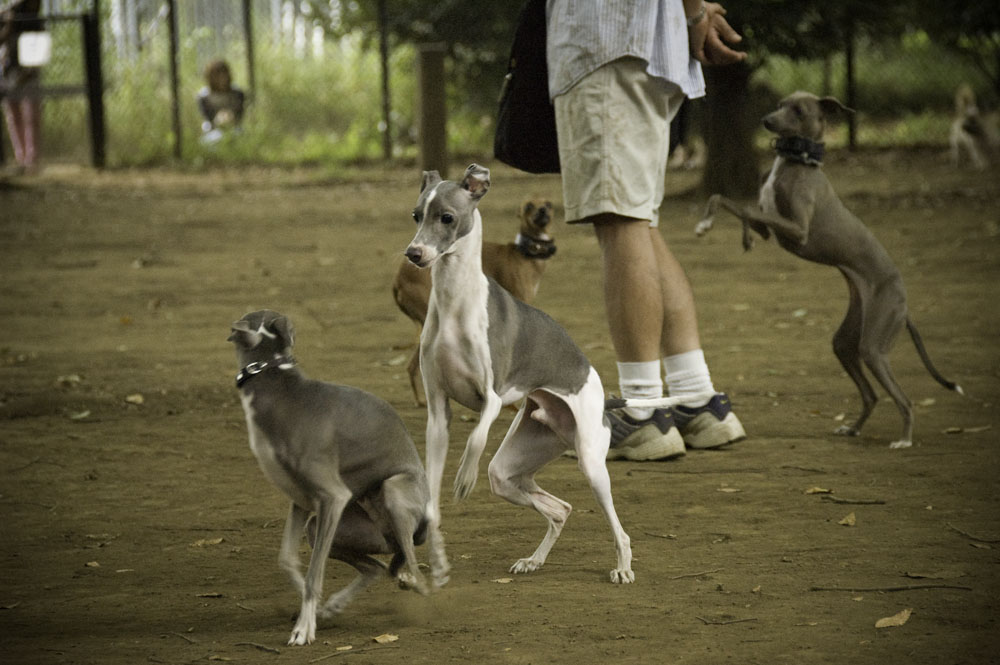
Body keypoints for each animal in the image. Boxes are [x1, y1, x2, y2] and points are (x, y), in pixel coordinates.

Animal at [230, 310, 430, 644]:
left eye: (248, 319)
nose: (232, 327)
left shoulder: (332, 496)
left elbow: (315, 573)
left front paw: (303, 629)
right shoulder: (302, 501)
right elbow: (287, 559)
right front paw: (313, 609)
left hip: (393, 490)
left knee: (414, 574)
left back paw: (408, 580)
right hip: (338, 529)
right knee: (377, 567)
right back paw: (334, 606)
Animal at [402, 165, 716, 588]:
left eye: (447, 217)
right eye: (417, 215)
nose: (414, 254)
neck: (455, 304)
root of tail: (605, 398)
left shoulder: (494, 397)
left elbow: (476, 437)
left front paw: (464, 477)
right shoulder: (438, 412)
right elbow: (433, 485)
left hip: (592, 465)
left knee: (616, 528)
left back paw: (623, 567)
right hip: (510, 469)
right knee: (559, 508)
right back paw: (533, 560)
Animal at [696, 91, 960, 448]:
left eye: (798, 110)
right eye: (780, 104)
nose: (767, 121)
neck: (798, 161)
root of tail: (905, 305)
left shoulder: (798, 230)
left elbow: (745, 209)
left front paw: (727, 231)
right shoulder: (771, 227)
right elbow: (727, 201)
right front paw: (714, 226)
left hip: (874, 345)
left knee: (903, 399)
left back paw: (904, 440)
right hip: (846, 341)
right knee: (870, 394)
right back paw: (852, 428)